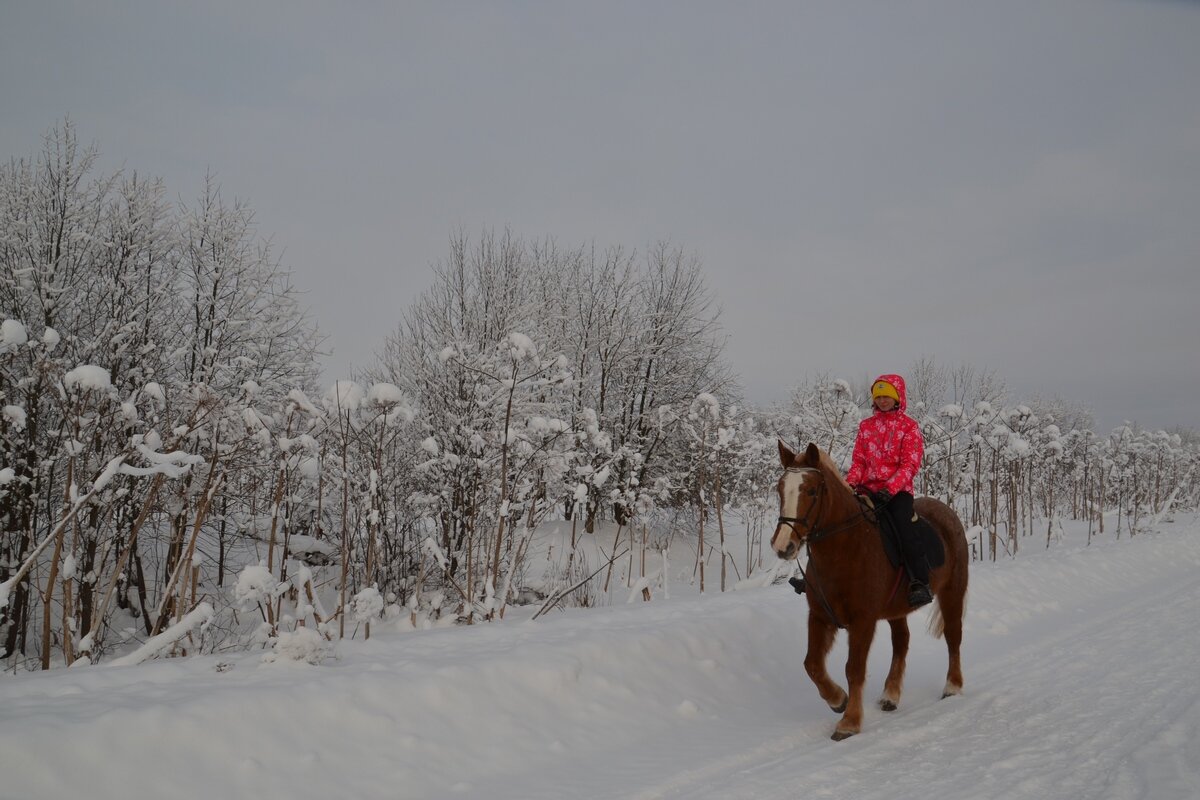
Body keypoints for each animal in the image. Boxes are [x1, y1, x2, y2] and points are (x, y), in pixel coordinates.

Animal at [772, 441, 969, 743]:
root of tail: (947, 513)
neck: (845, 548)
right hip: (897, 609)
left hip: (952, 591)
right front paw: (838, 700)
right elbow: (812, 664)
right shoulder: (819, 616)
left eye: (812, 491)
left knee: (953, 635)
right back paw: (890, 695)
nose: (784, 546)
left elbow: (854, 669)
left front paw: (849, 722)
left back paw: (952, 686)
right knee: (902, 641)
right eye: (780, 488)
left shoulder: (862, 621)